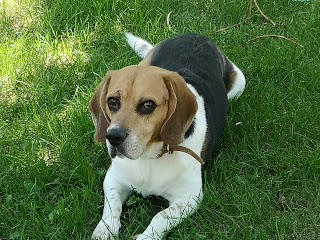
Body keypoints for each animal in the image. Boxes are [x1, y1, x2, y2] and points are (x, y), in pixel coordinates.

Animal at [89, 32, 245, 239]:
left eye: (148, 104)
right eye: (112, 101)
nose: (113, 137)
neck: (149, 158)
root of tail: (195, 35)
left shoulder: (189, 197)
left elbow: (160, 217)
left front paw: (145, 236)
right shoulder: (113, 178)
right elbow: (111, 205)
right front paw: (104, 230)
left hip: (239, 83)